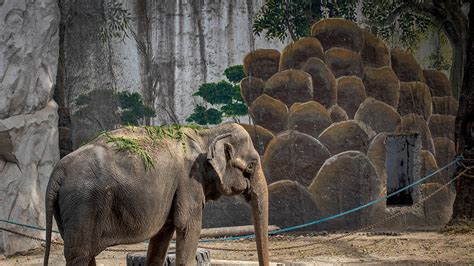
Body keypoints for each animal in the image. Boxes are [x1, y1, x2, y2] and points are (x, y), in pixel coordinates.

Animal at [43, 123, 270, 264]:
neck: (205, 134)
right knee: (79, 255)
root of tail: (58, 170)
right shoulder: (189, 182)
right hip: (82, 204)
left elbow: (161, 238)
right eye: (252, 165)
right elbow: (188, 227)